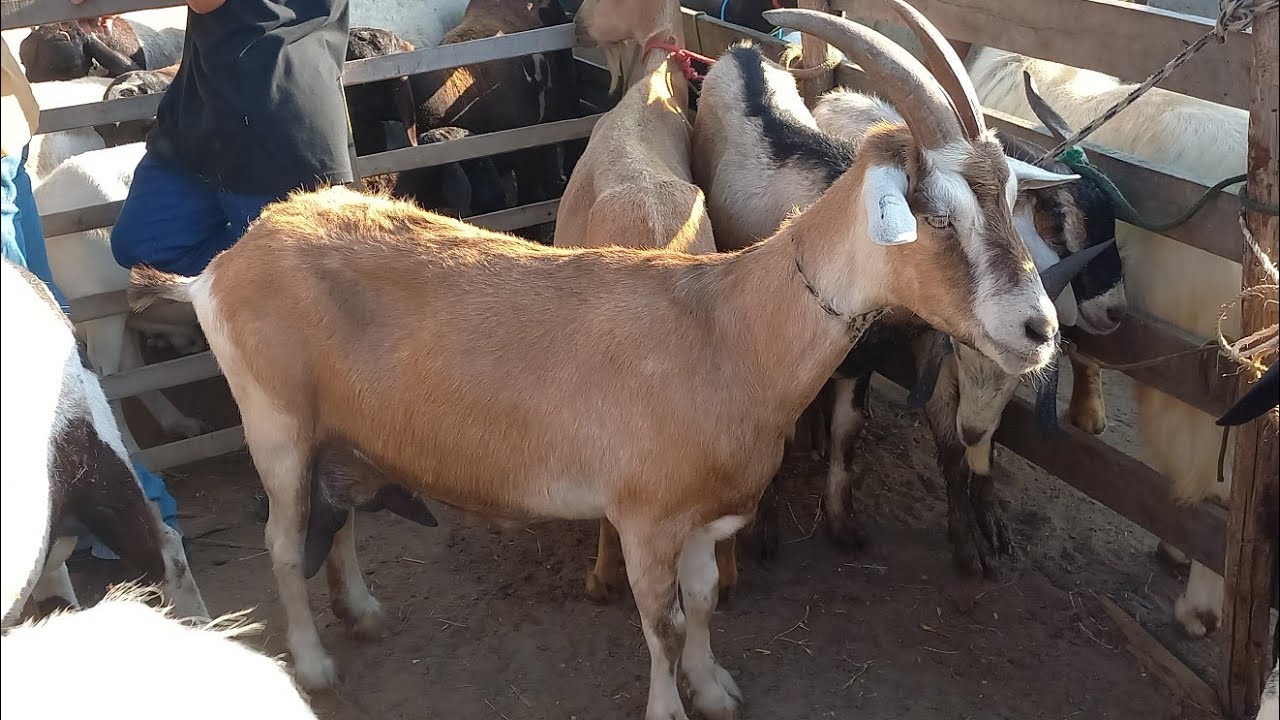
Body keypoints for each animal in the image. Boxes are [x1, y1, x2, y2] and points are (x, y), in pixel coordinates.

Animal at [126, 7, 1067, 714]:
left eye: (1013, 201)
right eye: (935, 213)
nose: (1038, 330)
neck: (725, 325)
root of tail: (220, 268)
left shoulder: (707, 517)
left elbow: (706, 602)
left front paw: (715, 689)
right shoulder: (644, 518)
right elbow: (662, 623)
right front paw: (671, 705)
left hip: (338, 426)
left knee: (341, 514)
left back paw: (362, 612)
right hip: (276, 422)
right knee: (284, 539)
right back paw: (316, 664)